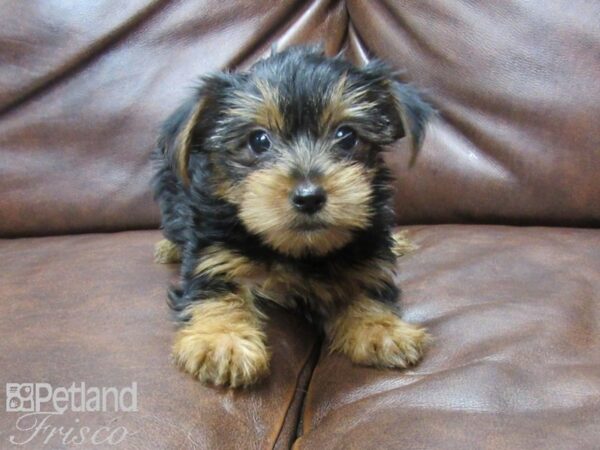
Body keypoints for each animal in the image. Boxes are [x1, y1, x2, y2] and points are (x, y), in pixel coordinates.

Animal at [150, 47, 432, 388]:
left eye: (346, 136)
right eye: (258, 140)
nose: (309, 197)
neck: (299, 250)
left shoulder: (367, 252)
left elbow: (367, 285)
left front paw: (380, 328)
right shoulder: (214, 253)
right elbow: (215, 291)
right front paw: (222, 341)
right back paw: (169, 248)